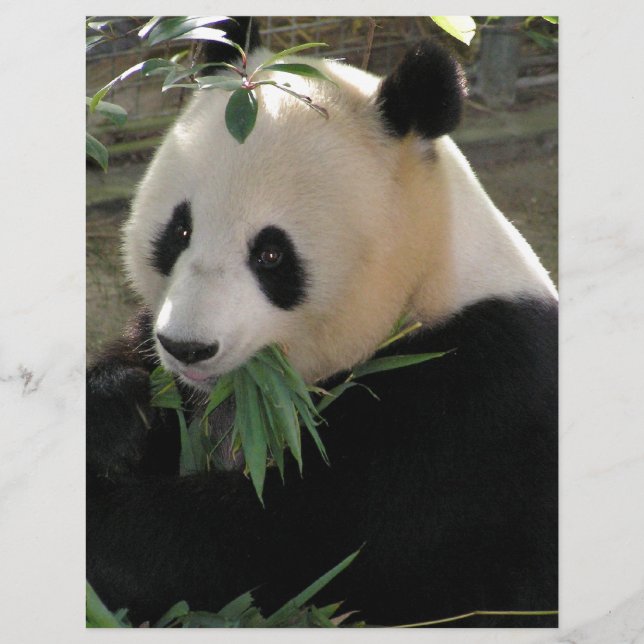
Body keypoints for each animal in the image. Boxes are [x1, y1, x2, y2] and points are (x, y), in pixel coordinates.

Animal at [87, 19, 558, 628]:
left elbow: (293, 546)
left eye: (271, 255)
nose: (187, 347)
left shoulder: (467, 404)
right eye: (179, 231)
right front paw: (119, 413)